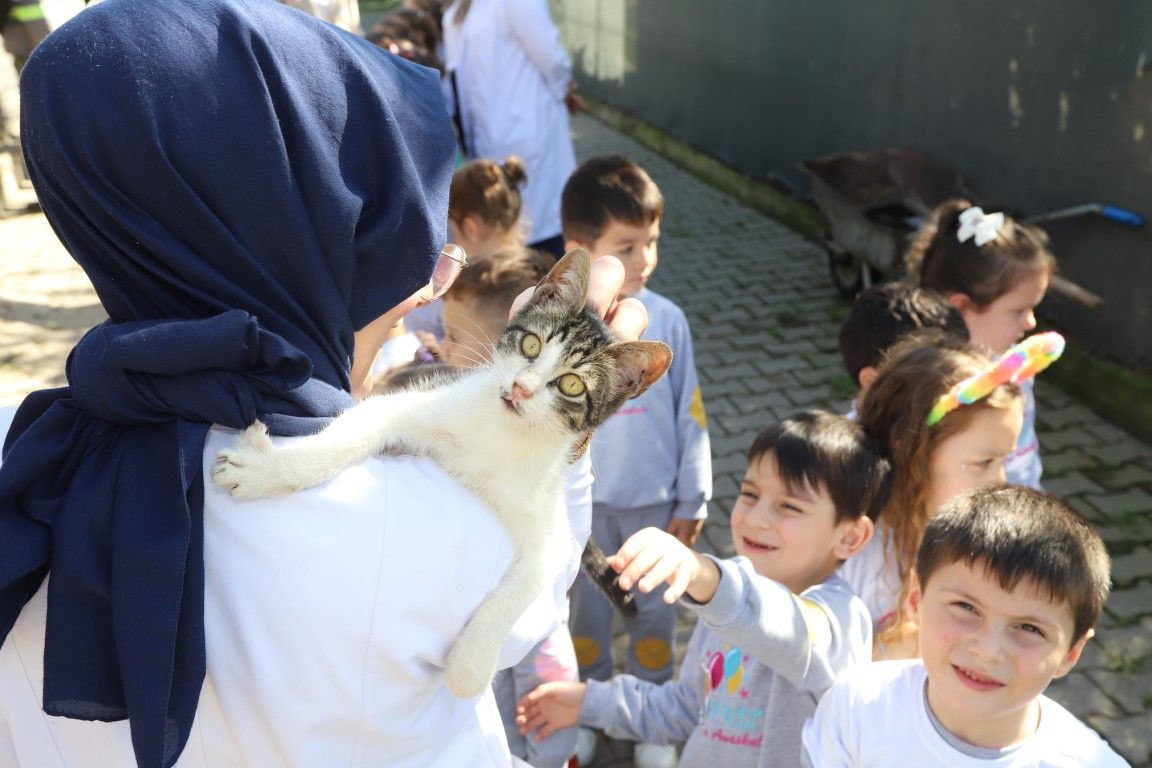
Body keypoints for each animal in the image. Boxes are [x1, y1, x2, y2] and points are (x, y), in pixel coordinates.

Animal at [211, 251, 672, 695]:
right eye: (531, 344)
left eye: (572, 385)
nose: (521, 388)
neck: (502, 434)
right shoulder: (401, 406)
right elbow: (336, 444)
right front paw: (267, 470)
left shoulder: (549, 529)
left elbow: (534, 579)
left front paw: (471, 665)